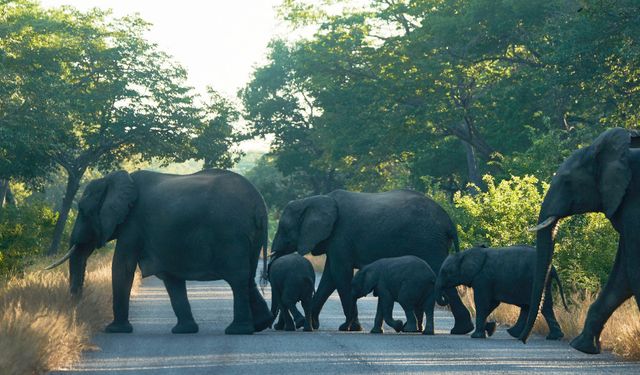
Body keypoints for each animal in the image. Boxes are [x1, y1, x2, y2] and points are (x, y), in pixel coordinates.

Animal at [45, 169, 272, 336]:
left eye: (83, 211)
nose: (75, 309)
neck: (115, 180)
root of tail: (260, 205)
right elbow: (170, 277)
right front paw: (184, 331)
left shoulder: (133, 224)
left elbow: (122, 266)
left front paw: (114, 330)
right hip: (249, 238)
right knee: (247, 277)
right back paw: (260, 325)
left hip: (230, 235)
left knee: (237, 279)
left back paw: (237, 331)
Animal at [270, 188, 476, 334]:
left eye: (284, 229)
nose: (277, 326)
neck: (313, 199)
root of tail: (449, 222)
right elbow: (329, 278)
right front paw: (312, 324)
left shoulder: (341, 236)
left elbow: (339, 275)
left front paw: (349, 328)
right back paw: (461, 329)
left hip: (428, 241)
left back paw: (460, 330)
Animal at [438, 245, 568, 342]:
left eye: (445, 272)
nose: (445, 296)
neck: (464, 254)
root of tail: (553, 268)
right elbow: (491, 304)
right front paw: (490, 328)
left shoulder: (483, 279)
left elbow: (482, 302)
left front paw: (477, 336)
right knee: (534, 306)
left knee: (540, 306)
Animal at [520, 128, 640, 354]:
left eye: (567, 182)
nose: (522, 340)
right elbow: (622, 276)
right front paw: (582, 346)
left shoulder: (634, 205)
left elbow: (632, 271)